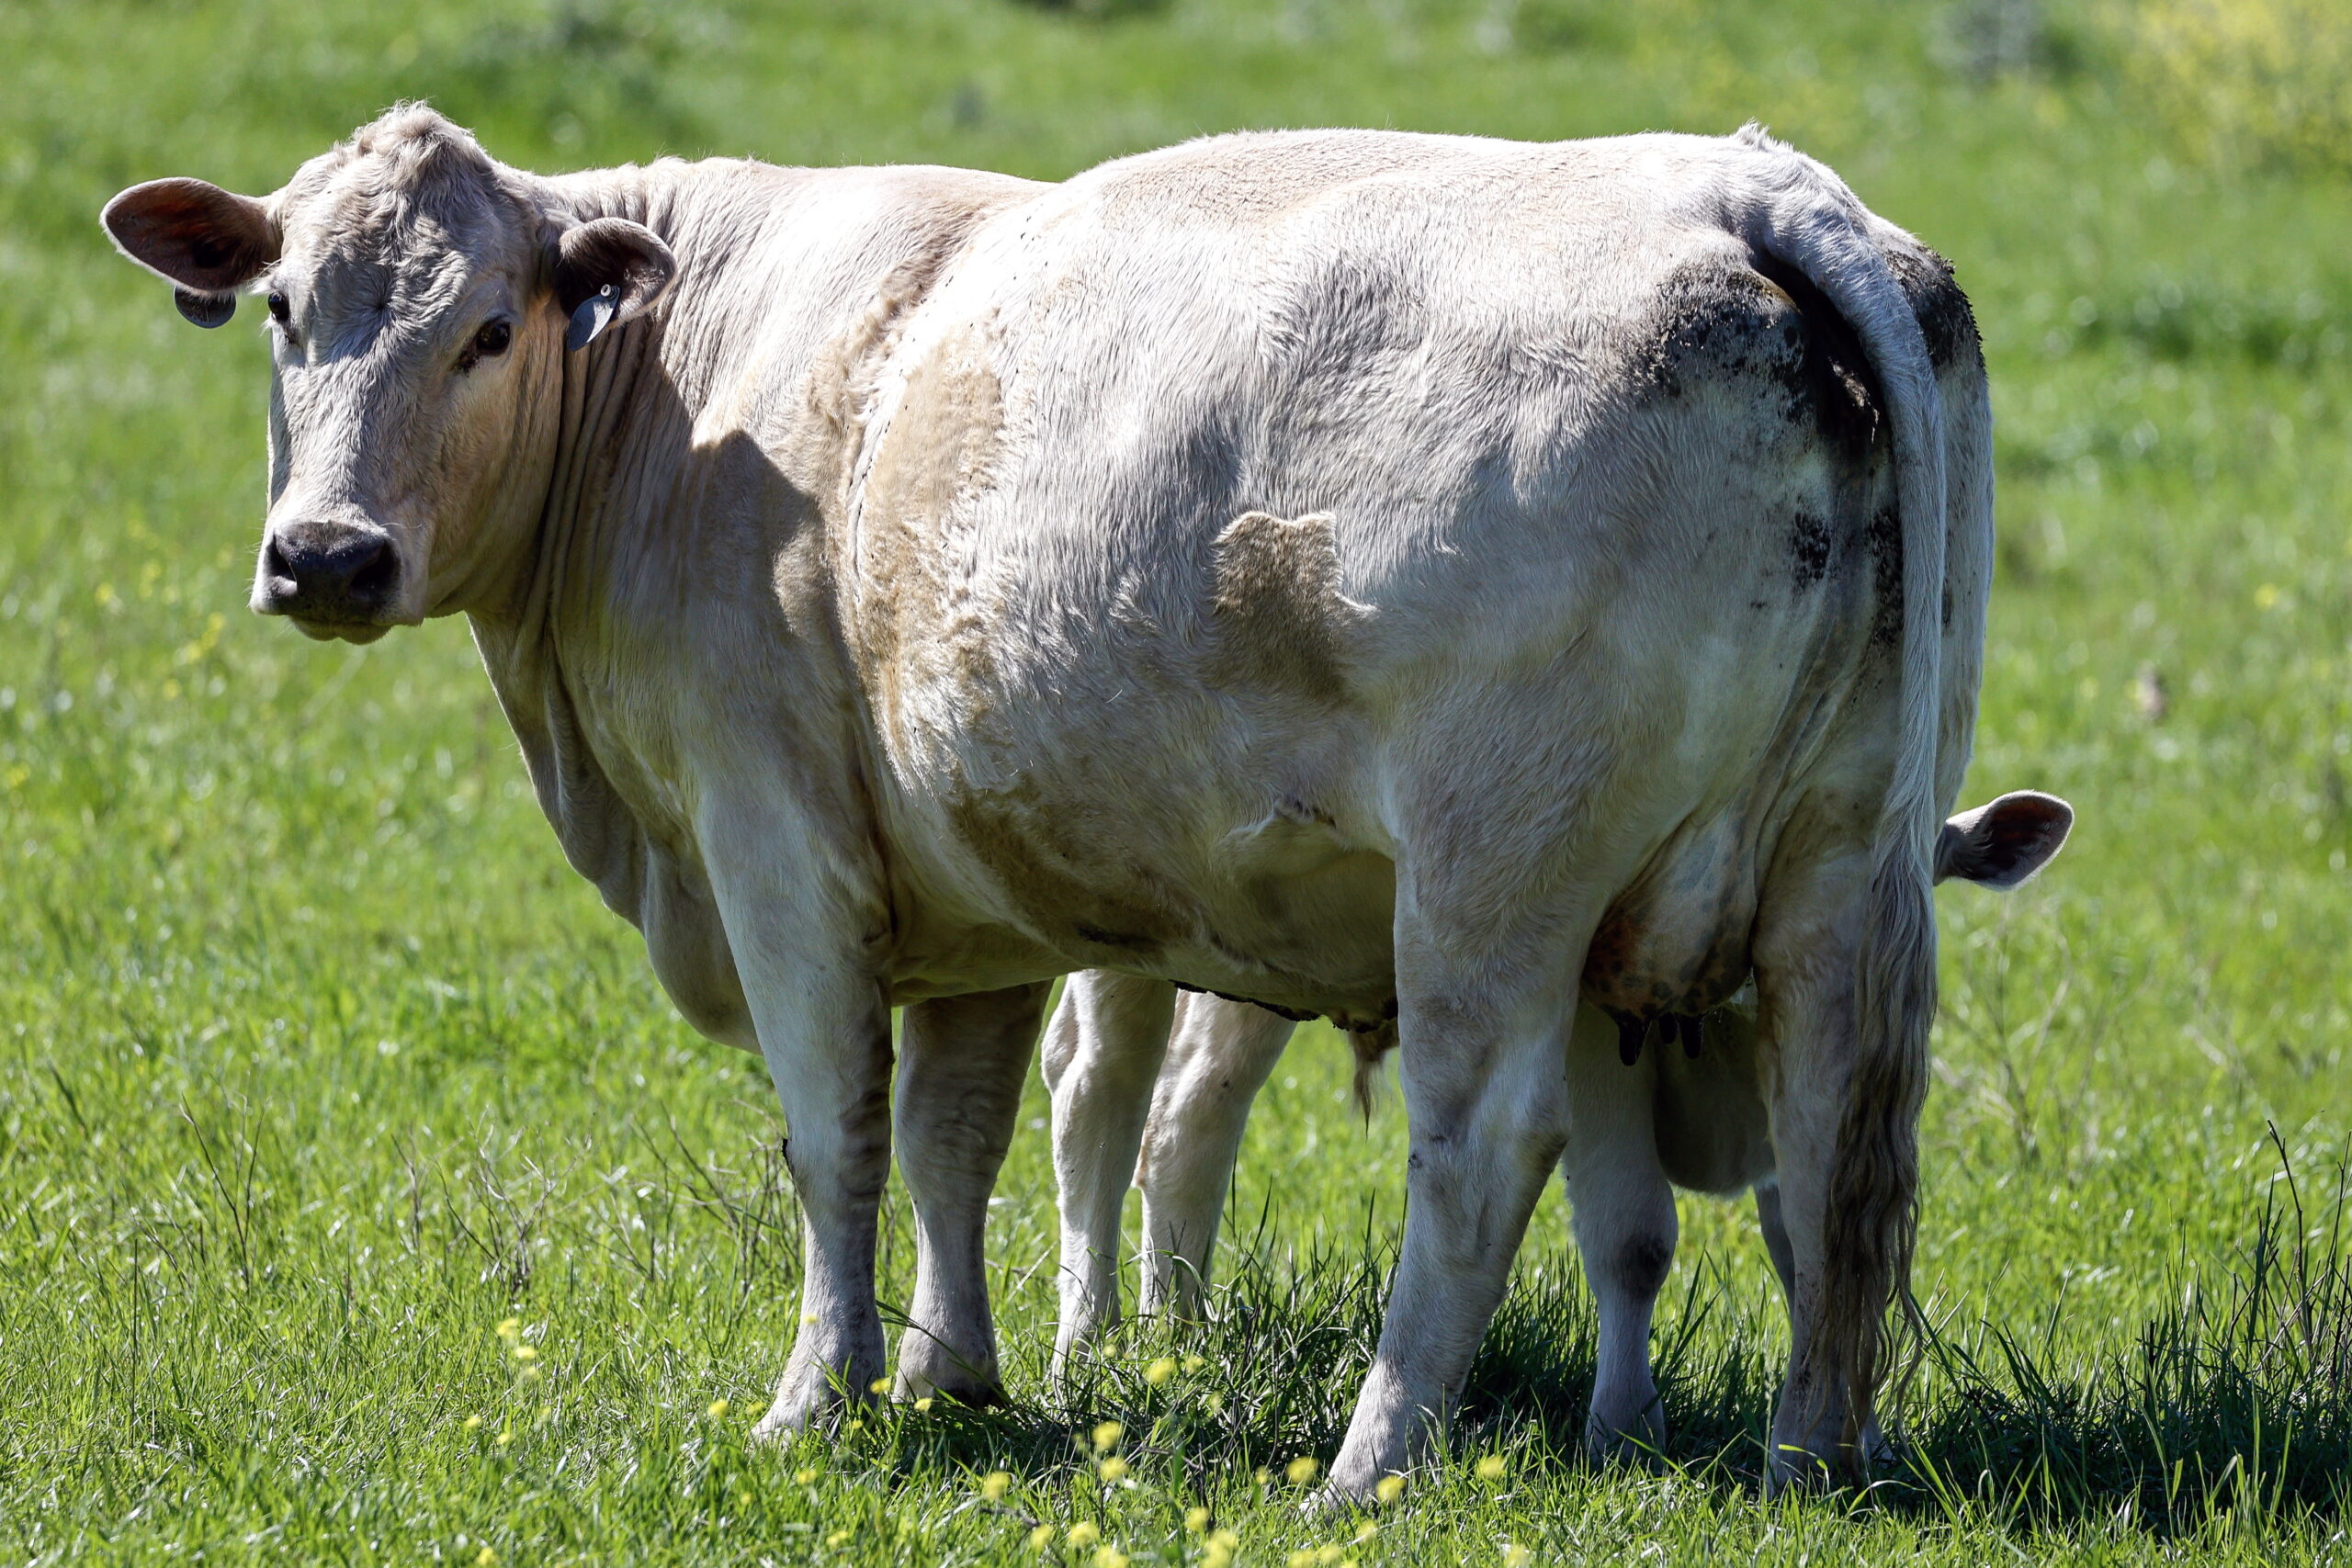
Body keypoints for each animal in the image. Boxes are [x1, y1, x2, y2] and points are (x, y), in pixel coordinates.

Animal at [1042, 790, 2071, 1461]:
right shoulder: (1593, 1041)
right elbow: (1634, 1238)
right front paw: (1625, 1428)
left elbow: (1806, 1247)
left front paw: (1854, 1428)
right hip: (1125, 930)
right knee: (1109, 1093)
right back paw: (1095, 1344)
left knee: (1182, 1113)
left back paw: (1178, 1336)